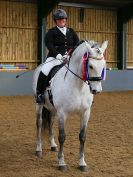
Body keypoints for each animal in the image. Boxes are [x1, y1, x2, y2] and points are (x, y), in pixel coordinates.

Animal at [32, 40, 108, 171]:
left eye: (103, 65)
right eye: (90, 66)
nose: (96, 90)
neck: (78, 86)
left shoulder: (85, 112)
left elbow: (82, 136)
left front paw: (82, 163)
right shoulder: (62, 113)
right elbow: (62, 136)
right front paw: (62, 163)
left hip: (53, 109)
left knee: (50, 122)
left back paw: (53, 145)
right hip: (39, 104)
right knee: (39, 124)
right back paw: (38, 150)